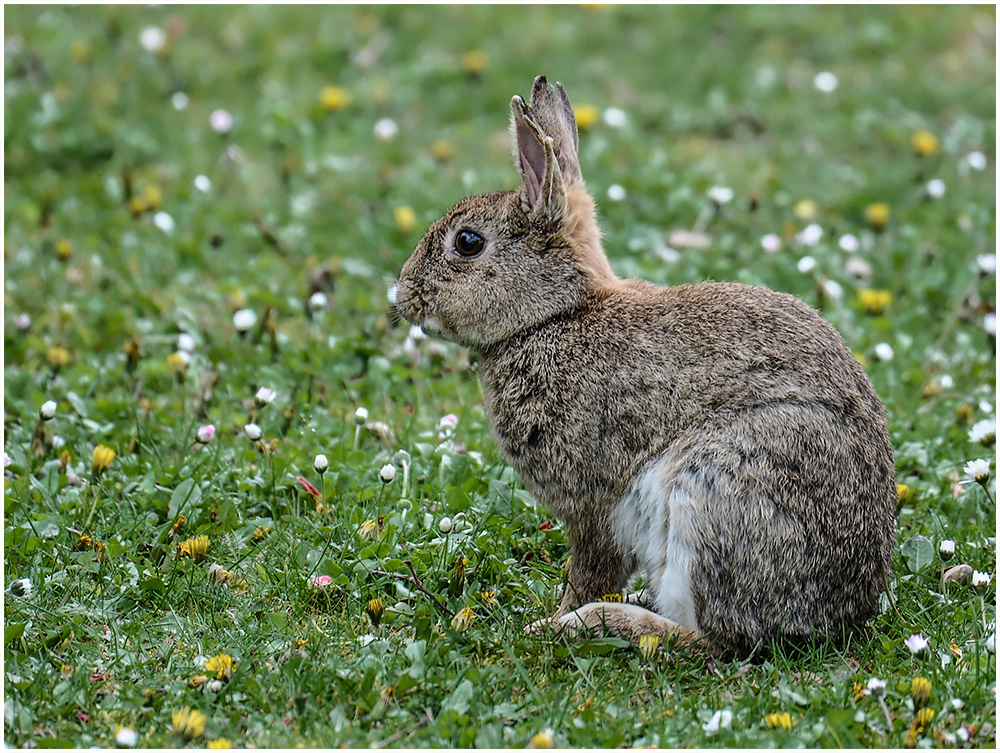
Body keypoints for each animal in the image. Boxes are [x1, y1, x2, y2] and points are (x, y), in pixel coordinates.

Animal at [390, 73, 900, 656]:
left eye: (468, 243)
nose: (404, 298)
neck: (555, 315)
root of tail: (840, 614)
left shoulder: (595, 506)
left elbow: (590, 570)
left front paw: (548, 622)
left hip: (712, 491)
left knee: (714, 641)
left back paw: (602, 623)